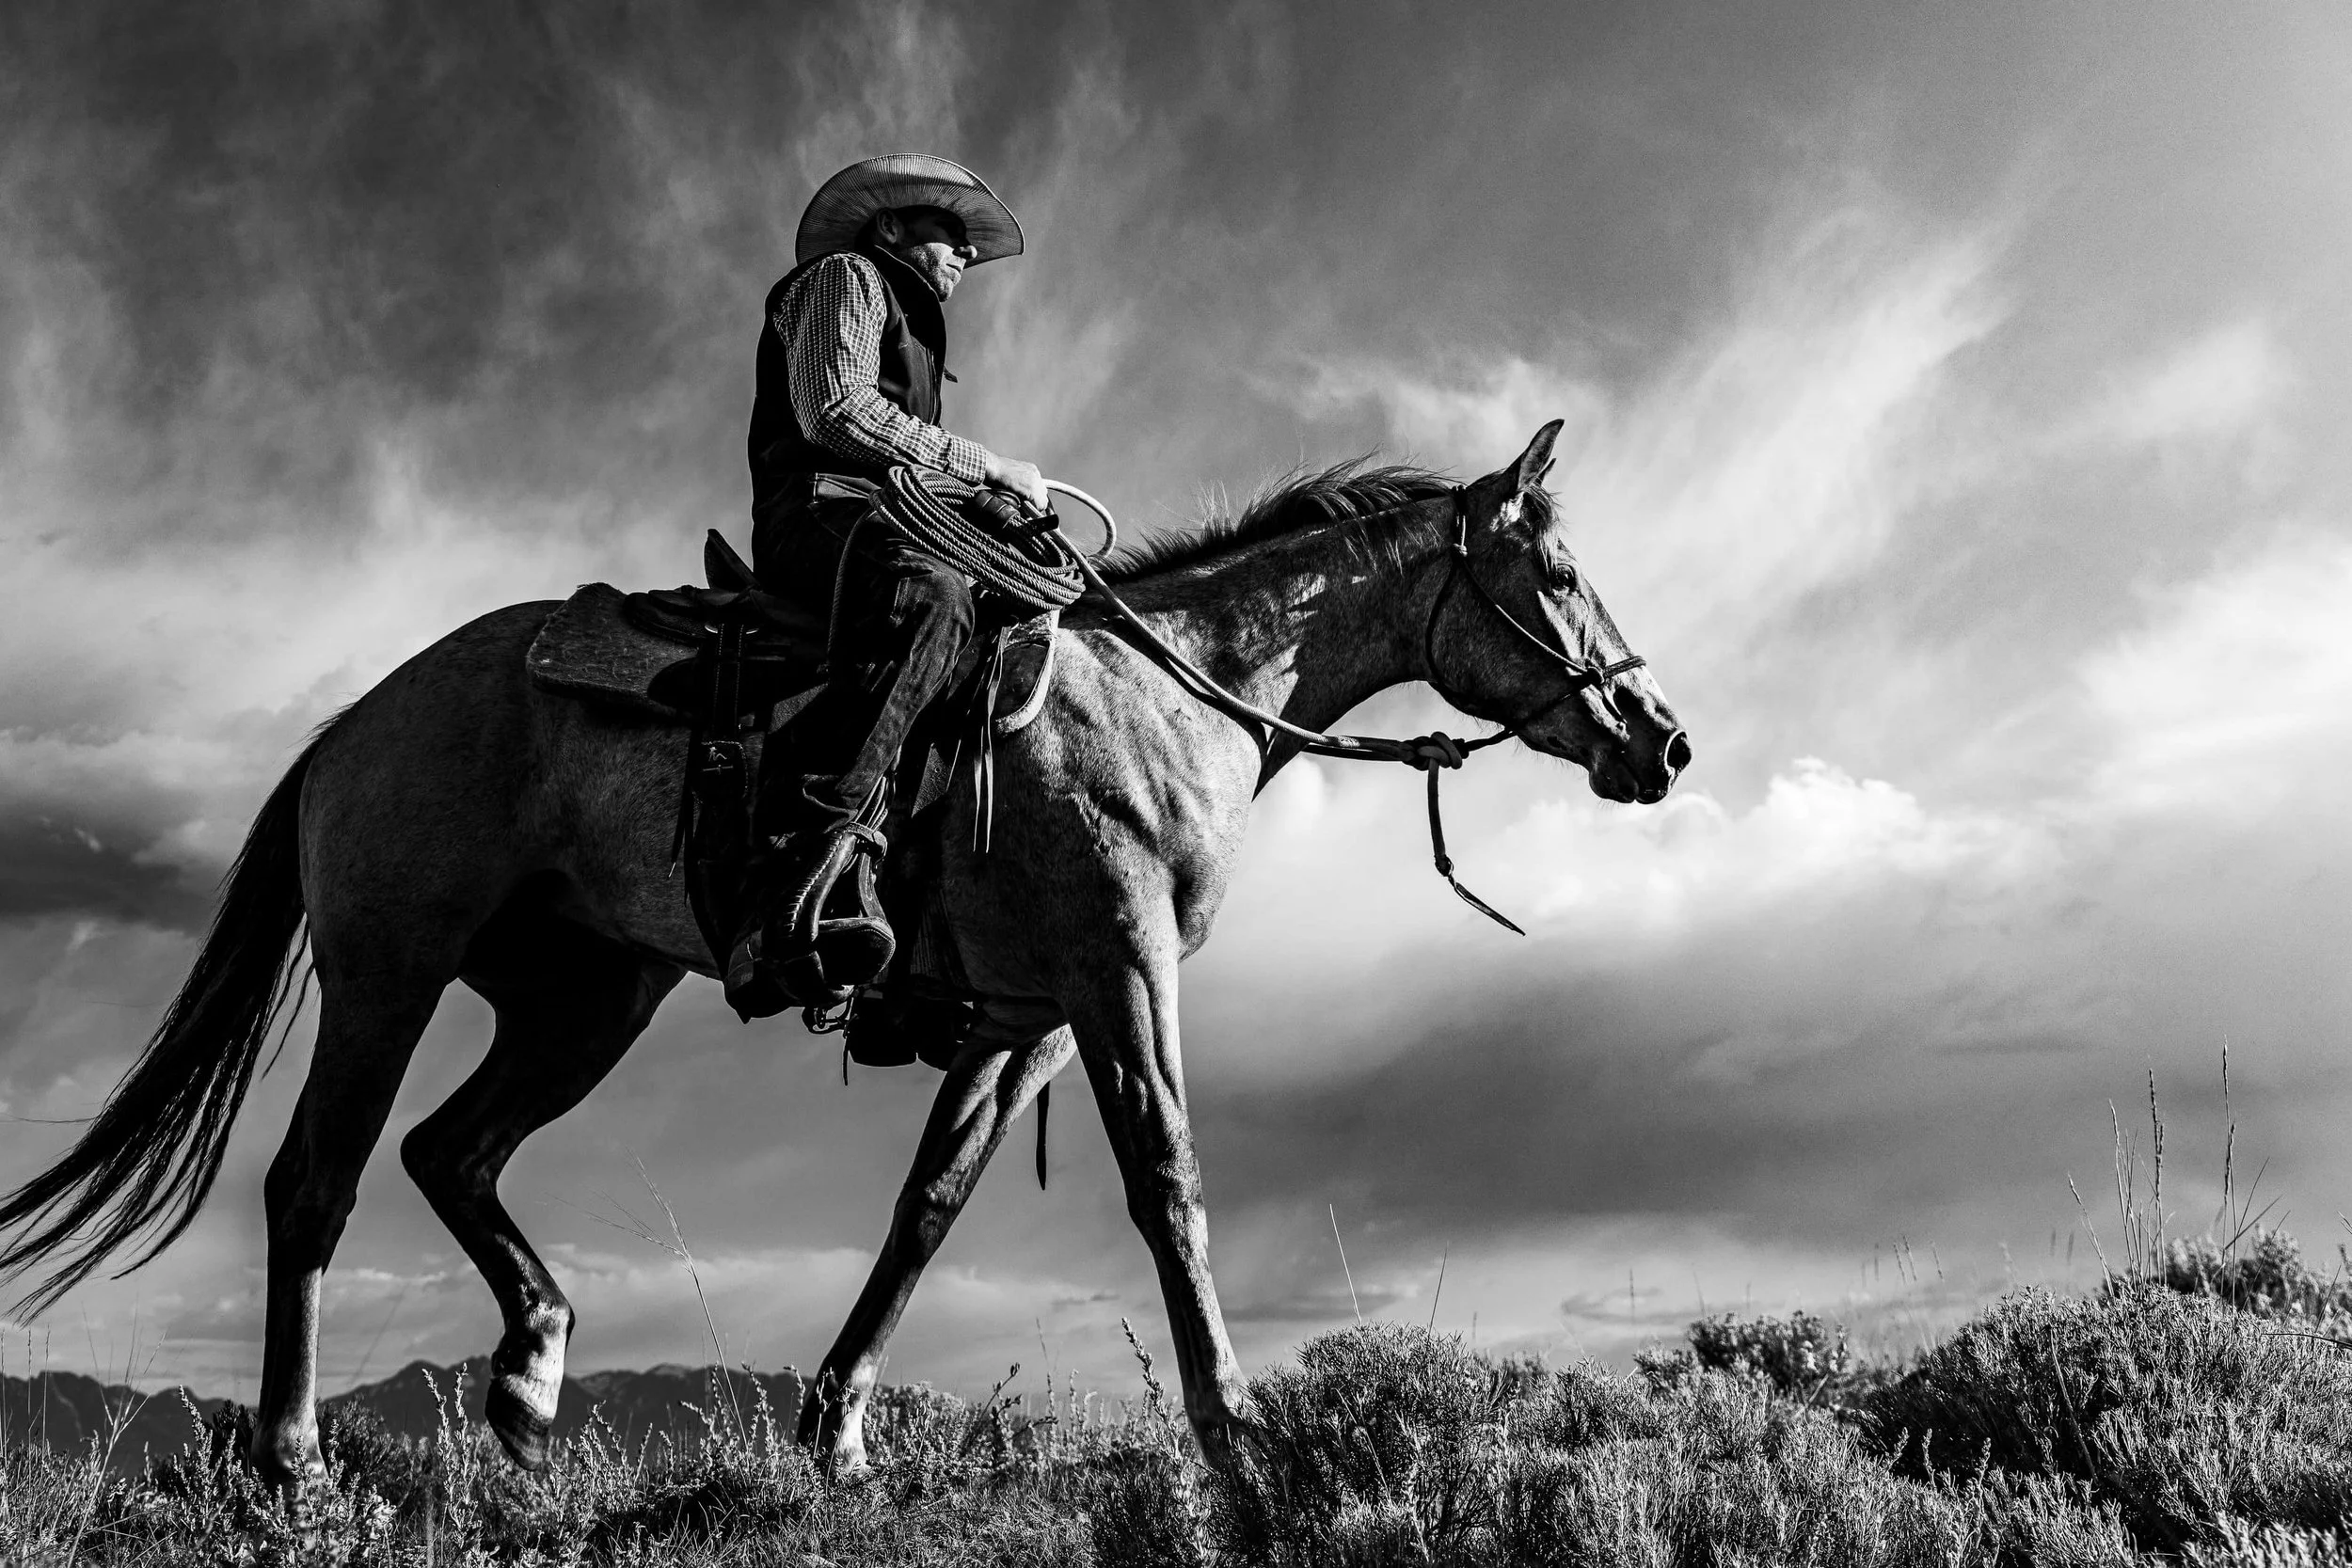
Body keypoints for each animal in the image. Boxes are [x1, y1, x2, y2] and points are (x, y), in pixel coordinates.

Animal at [0, 420, 1687, 1482]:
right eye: (1554, 576)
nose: (1660, 739)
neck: (1172, 696)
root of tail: (349, 723)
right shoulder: (1121, 974)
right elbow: (1171, 1186)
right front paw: (1235, 1433)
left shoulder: (1026, 1016)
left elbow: (926, 1208)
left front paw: (839, 1427)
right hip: (389, 972)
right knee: (318, 1180)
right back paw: (288, 1459)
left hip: (587, 998)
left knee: (448, 1151)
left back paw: (533, 1375)